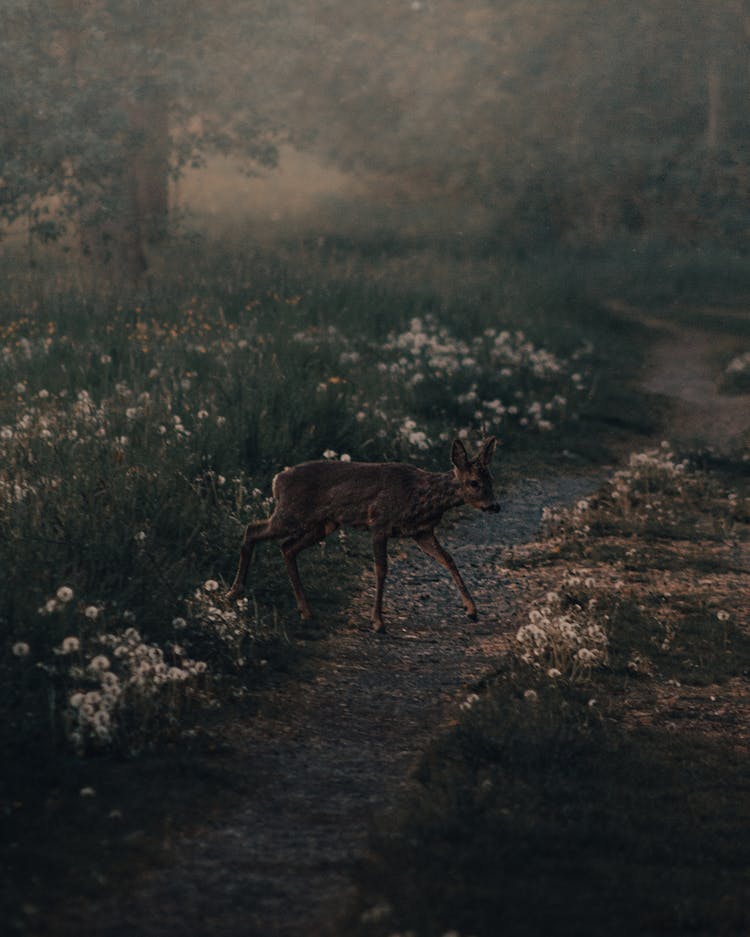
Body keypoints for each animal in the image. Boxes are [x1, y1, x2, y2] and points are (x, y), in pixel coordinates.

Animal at [226, 436, 502, 628]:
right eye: (474, 483)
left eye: (491, 480)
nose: (495, 506)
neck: (422, 496)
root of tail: (277, 480)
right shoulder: (379, 523)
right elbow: (381, 569)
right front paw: (378, 621)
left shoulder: (421, 532)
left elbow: (448, 560)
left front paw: (472, 609)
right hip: (291, 513)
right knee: (252, 529)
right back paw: (234, 591)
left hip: (323, 524)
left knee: (287, 548)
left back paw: (306, 611)